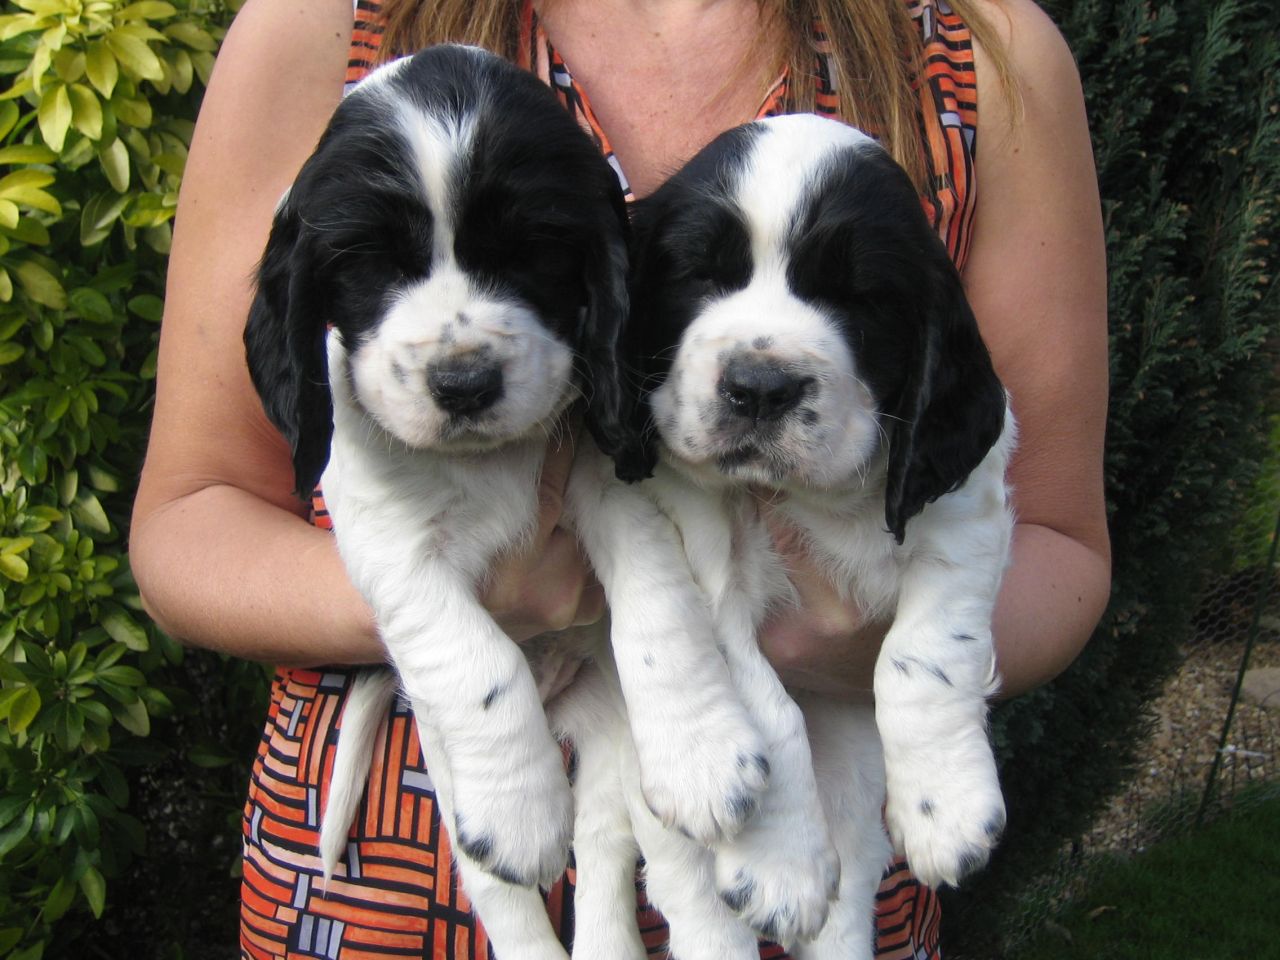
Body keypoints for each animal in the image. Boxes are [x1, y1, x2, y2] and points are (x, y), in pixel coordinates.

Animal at [622, 114, 1018, 960]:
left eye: (859, 299)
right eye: (700, 275)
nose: (760, 388)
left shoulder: (965, 504)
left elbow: (923, 658)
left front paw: (948, 807)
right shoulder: (708, 551)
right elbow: (764, 701)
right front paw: (778, 868)